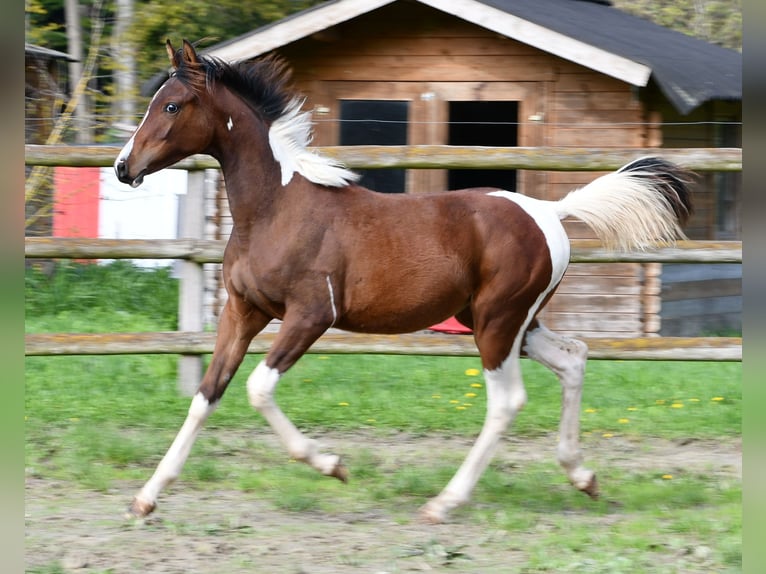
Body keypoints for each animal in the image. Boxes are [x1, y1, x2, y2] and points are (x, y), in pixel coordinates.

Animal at [114, 39, 693, 524]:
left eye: (171, 106)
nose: (123, 168)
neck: (277, 207)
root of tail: (549, 211)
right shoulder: (243, 311)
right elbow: (207, 394)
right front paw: (146, 497)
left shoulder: (311, 315)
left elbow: (258, 388)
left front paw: (332, 465)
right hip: (508, 321)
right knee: (573, 358)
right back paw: (583, 477)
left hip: (497, 322)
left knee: (507, 401)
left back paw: (445, 502)